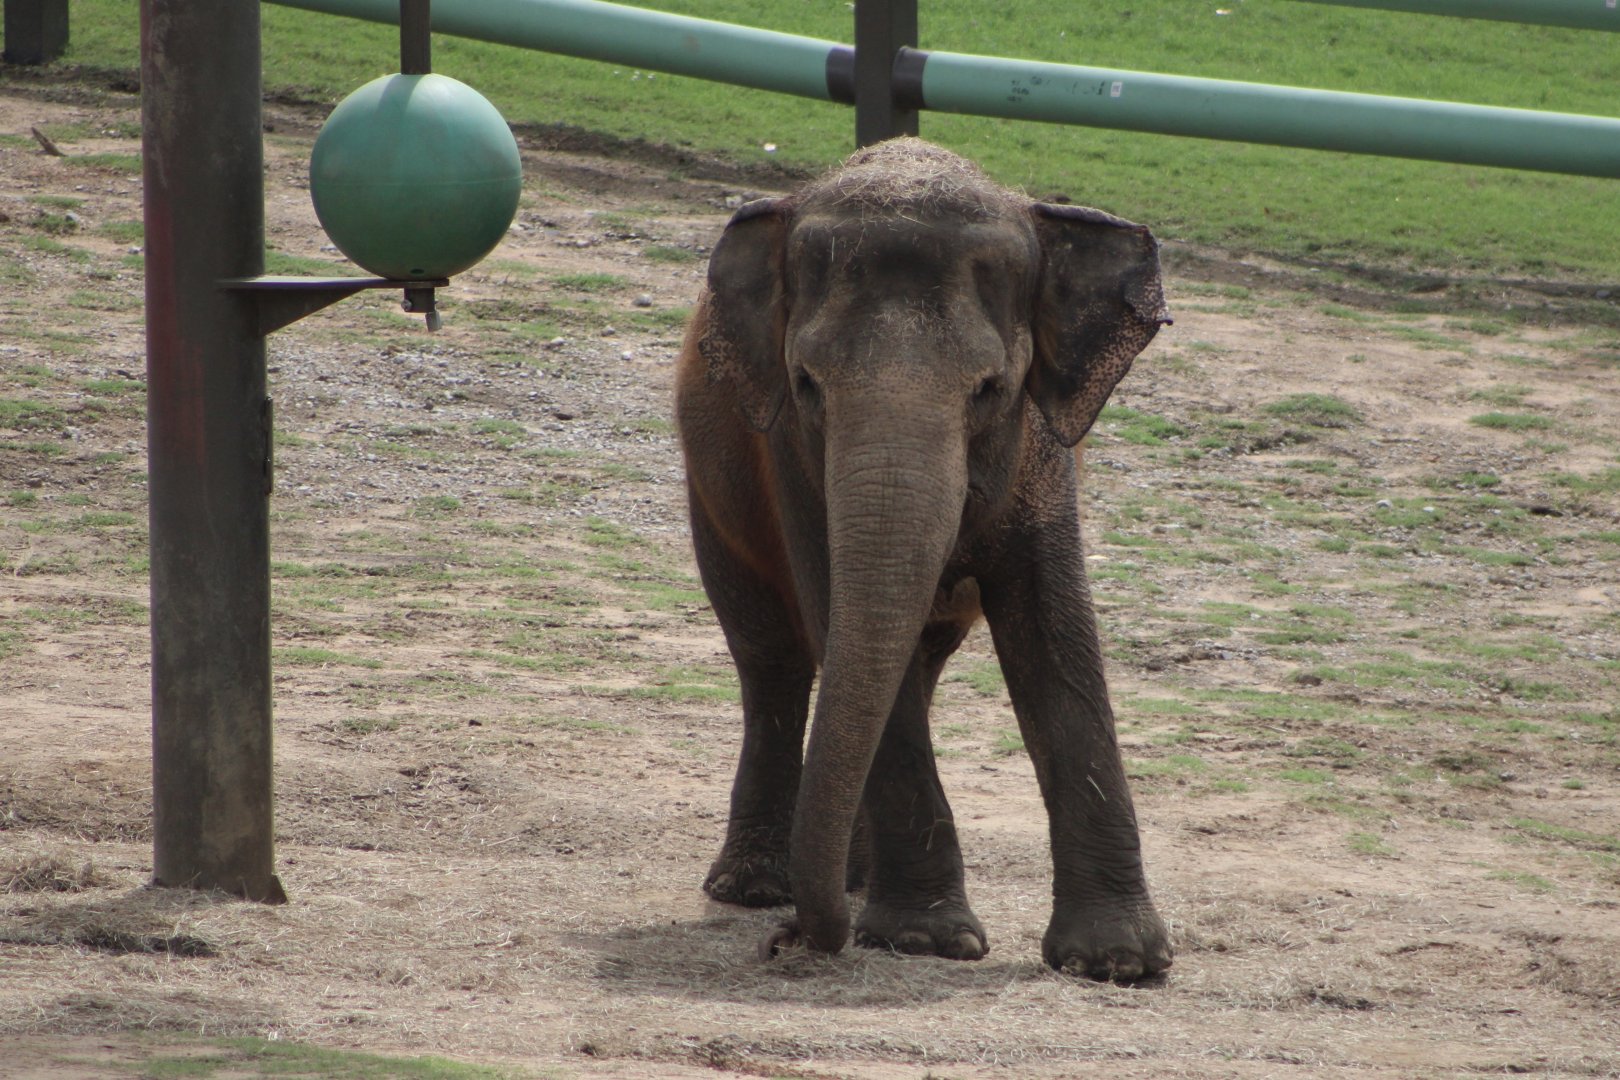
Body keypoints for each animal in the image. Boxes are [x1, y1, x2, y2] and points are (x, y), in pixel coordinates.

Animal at [673, 137, 1173, 981]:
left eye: (991, 388)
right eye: (806, 383)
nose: (790, 941)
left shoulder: (1043, 453)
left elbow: (1056, 635)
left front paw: (1119, 964)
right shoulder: (791, 459)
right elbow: (838, 612)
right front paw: (926, 940)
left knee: (919, 657)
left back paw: (846, 881)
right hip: (713, 492)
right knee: (772, 658)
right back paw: (762, 887)